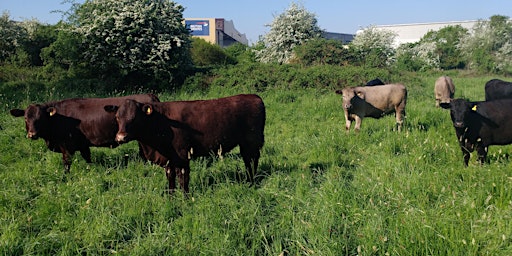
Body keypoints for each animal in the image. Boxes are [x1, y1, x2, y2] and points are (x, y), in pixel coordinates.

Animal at [9, 93, 158, 172]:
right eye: (26, 118)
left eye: (40, 118)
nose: (32, 134)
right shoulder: (83, 145)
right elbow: (87, 158)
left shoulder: (66, 147)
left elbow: (67, 164)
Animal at [102, 95, 266, 195]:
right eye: (117, 117)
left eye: (135, 118)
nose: (120, 137)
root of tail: (254, 97)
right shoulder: (169, 158)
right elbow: (170, 178)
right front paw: (171, 197)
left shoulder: (182, 155)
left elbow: (183, 178)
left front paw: (185, 198)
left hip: (251, 142)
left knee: (251, 161)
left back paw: (251, 182)